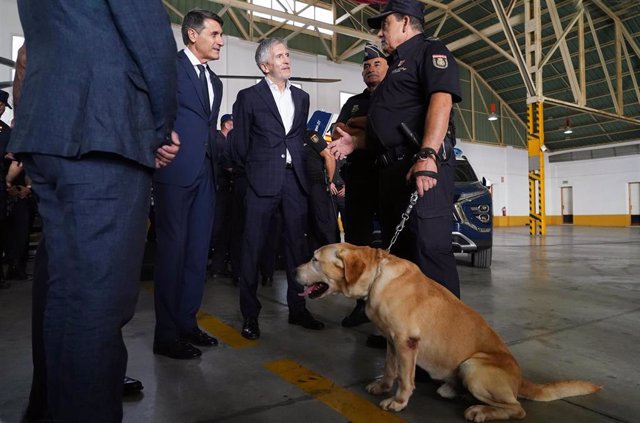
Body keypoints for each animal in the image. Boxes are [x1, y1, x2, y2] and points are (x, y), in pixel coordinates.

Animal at [296, 243, 600, 422]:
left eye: (314, 260)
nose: (294, 270)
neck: (376, 277)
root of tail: (520, 380)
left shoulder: (406, 342)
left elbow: (405, 378)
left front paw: (398, 401)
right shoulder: (391, 341)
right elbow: (390, 368)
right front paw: (382, 386)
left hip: (473, 366)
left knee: (516, 408)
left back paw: (480, 411)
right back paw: (453, 390)